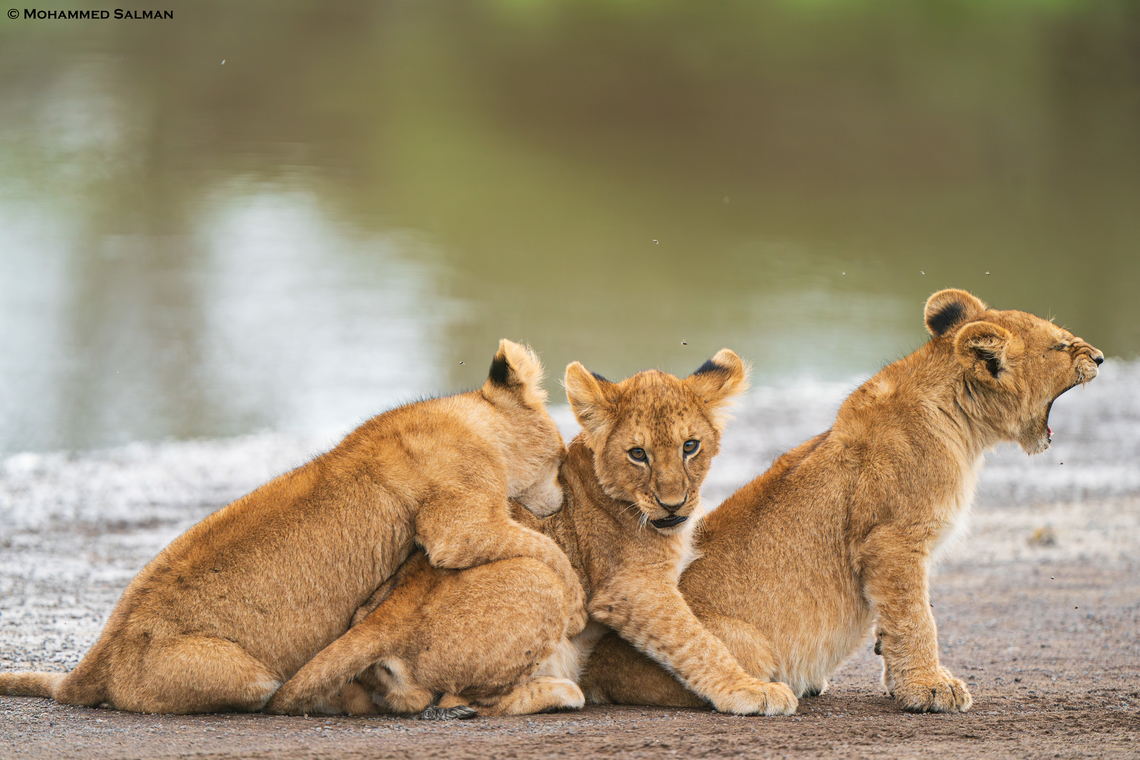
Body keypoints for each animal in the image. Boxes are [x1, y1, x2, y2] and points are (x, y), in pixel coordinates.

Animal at [0, 340, 586, 714]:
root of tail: (95, 657)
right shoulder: (458, 529)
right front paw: (577, 606)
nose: (563, 494)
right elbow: (545, 551)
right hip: (247, 676)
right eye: (562, 459)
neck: (473, 422)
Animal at [264, 349, 797, 717]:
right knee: (457, 701)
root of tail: (383, 617)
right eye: (638, 454)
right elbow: (696, 643)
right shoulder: (630, 590)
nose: (673, 503)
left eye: (691, 446)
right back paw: (561, 691)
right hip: (537, 581)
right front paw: (750, 691)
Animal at [580, 289, 1104, 714]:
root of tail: (588, 667)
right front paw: (930, 688)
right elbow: (916, 618)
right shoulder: (892, 540)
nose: (1099, 357)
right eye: (1060, 345)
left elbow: (896, 620)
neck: (959, 420)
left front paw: (901, 677)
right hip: (745, 643)